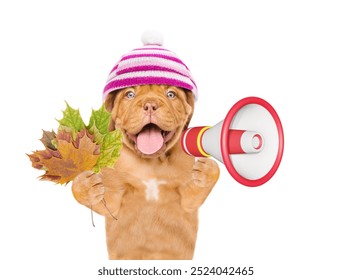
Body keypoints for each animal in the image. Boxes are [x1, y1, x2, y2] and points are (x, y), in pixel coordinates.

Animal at [72, 84, 219, 260]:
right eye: (129, 94)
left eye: (171, 94)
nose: (150, 105)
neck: (152, 162)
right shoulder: (115, 199)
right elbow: (106, 202)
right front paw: (86, 185)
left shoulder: (186, 200)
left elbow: (194, 194)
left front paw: (206, 170)